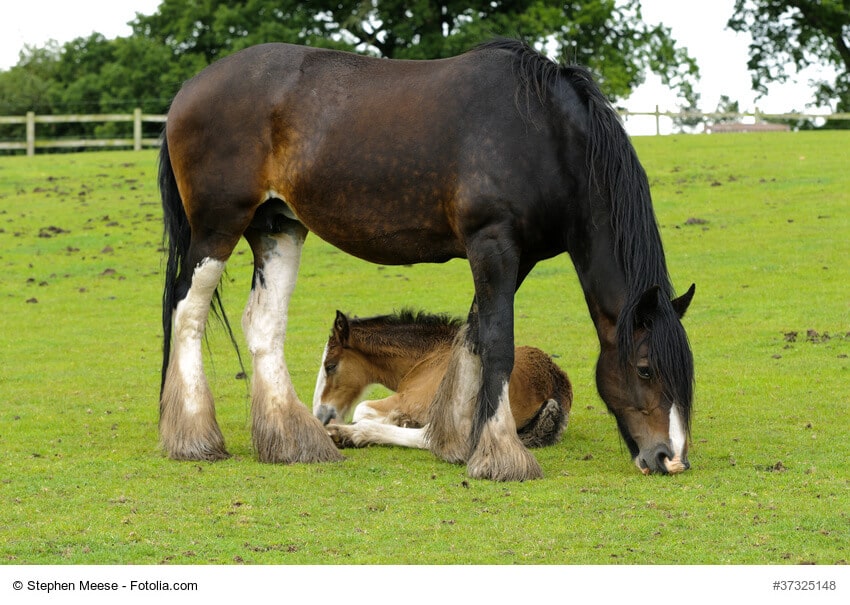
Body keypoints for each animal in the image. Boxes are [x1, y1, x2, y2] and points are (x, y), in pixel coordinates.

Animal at [312, 310, 572, 450]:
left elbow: (362, 409)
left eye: (330, 366)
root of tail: (554, 386)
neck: (429, 354)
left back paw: (347, 434)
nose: (320, 415)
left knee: (428, 439)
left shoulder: (410, 398)